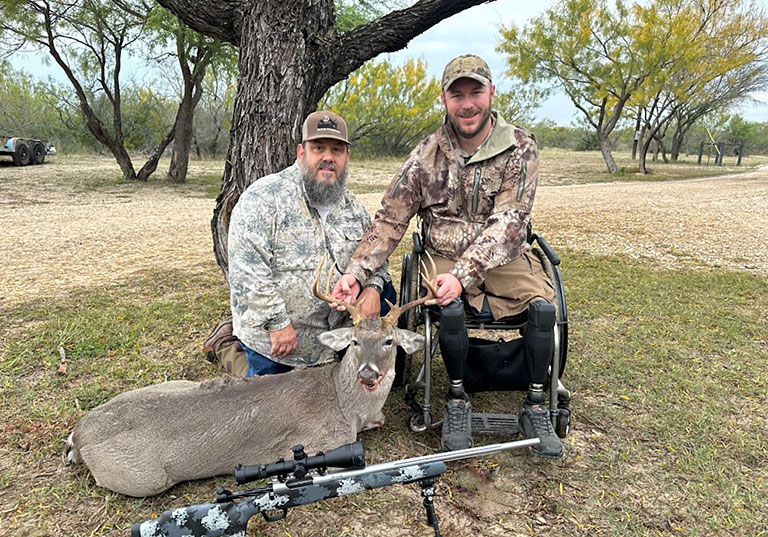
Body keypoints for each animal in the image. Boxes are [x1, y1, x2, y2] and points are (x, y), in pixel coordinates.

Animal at [65, 256, 438, 497]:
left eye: (389, 341)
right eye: (355, 342)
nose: (368, 374)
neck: (347, 403)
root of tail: (79, 434)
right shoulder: (323, 444)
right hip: (143, 478)